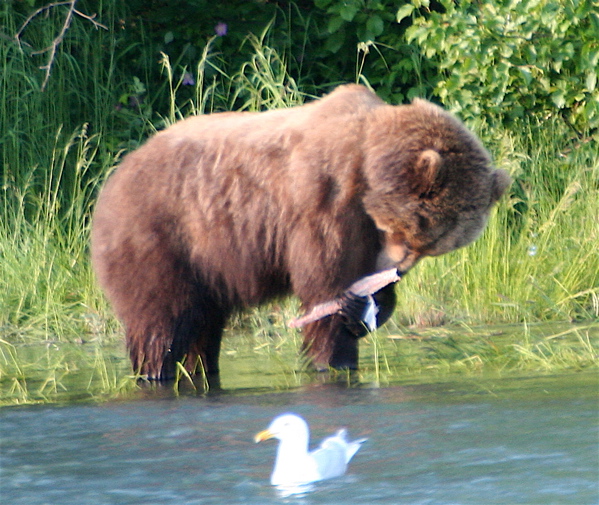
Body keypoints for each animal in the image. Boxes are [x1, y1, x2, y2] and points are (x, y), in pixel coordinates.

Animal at [92, 84, 510, 380]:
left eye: (432, 248)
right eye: (410, 234)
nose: (397, 269)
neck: (369, 169)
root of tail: (113, 178)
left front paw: (366, 309)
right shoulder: (323, 203)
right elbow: (322, 284)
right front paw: (335, 356)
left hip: (206, 269)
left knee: (203, 325)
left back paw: (198, 368)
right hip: (164, 237)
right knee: (161, 320)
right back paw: (154, 371)